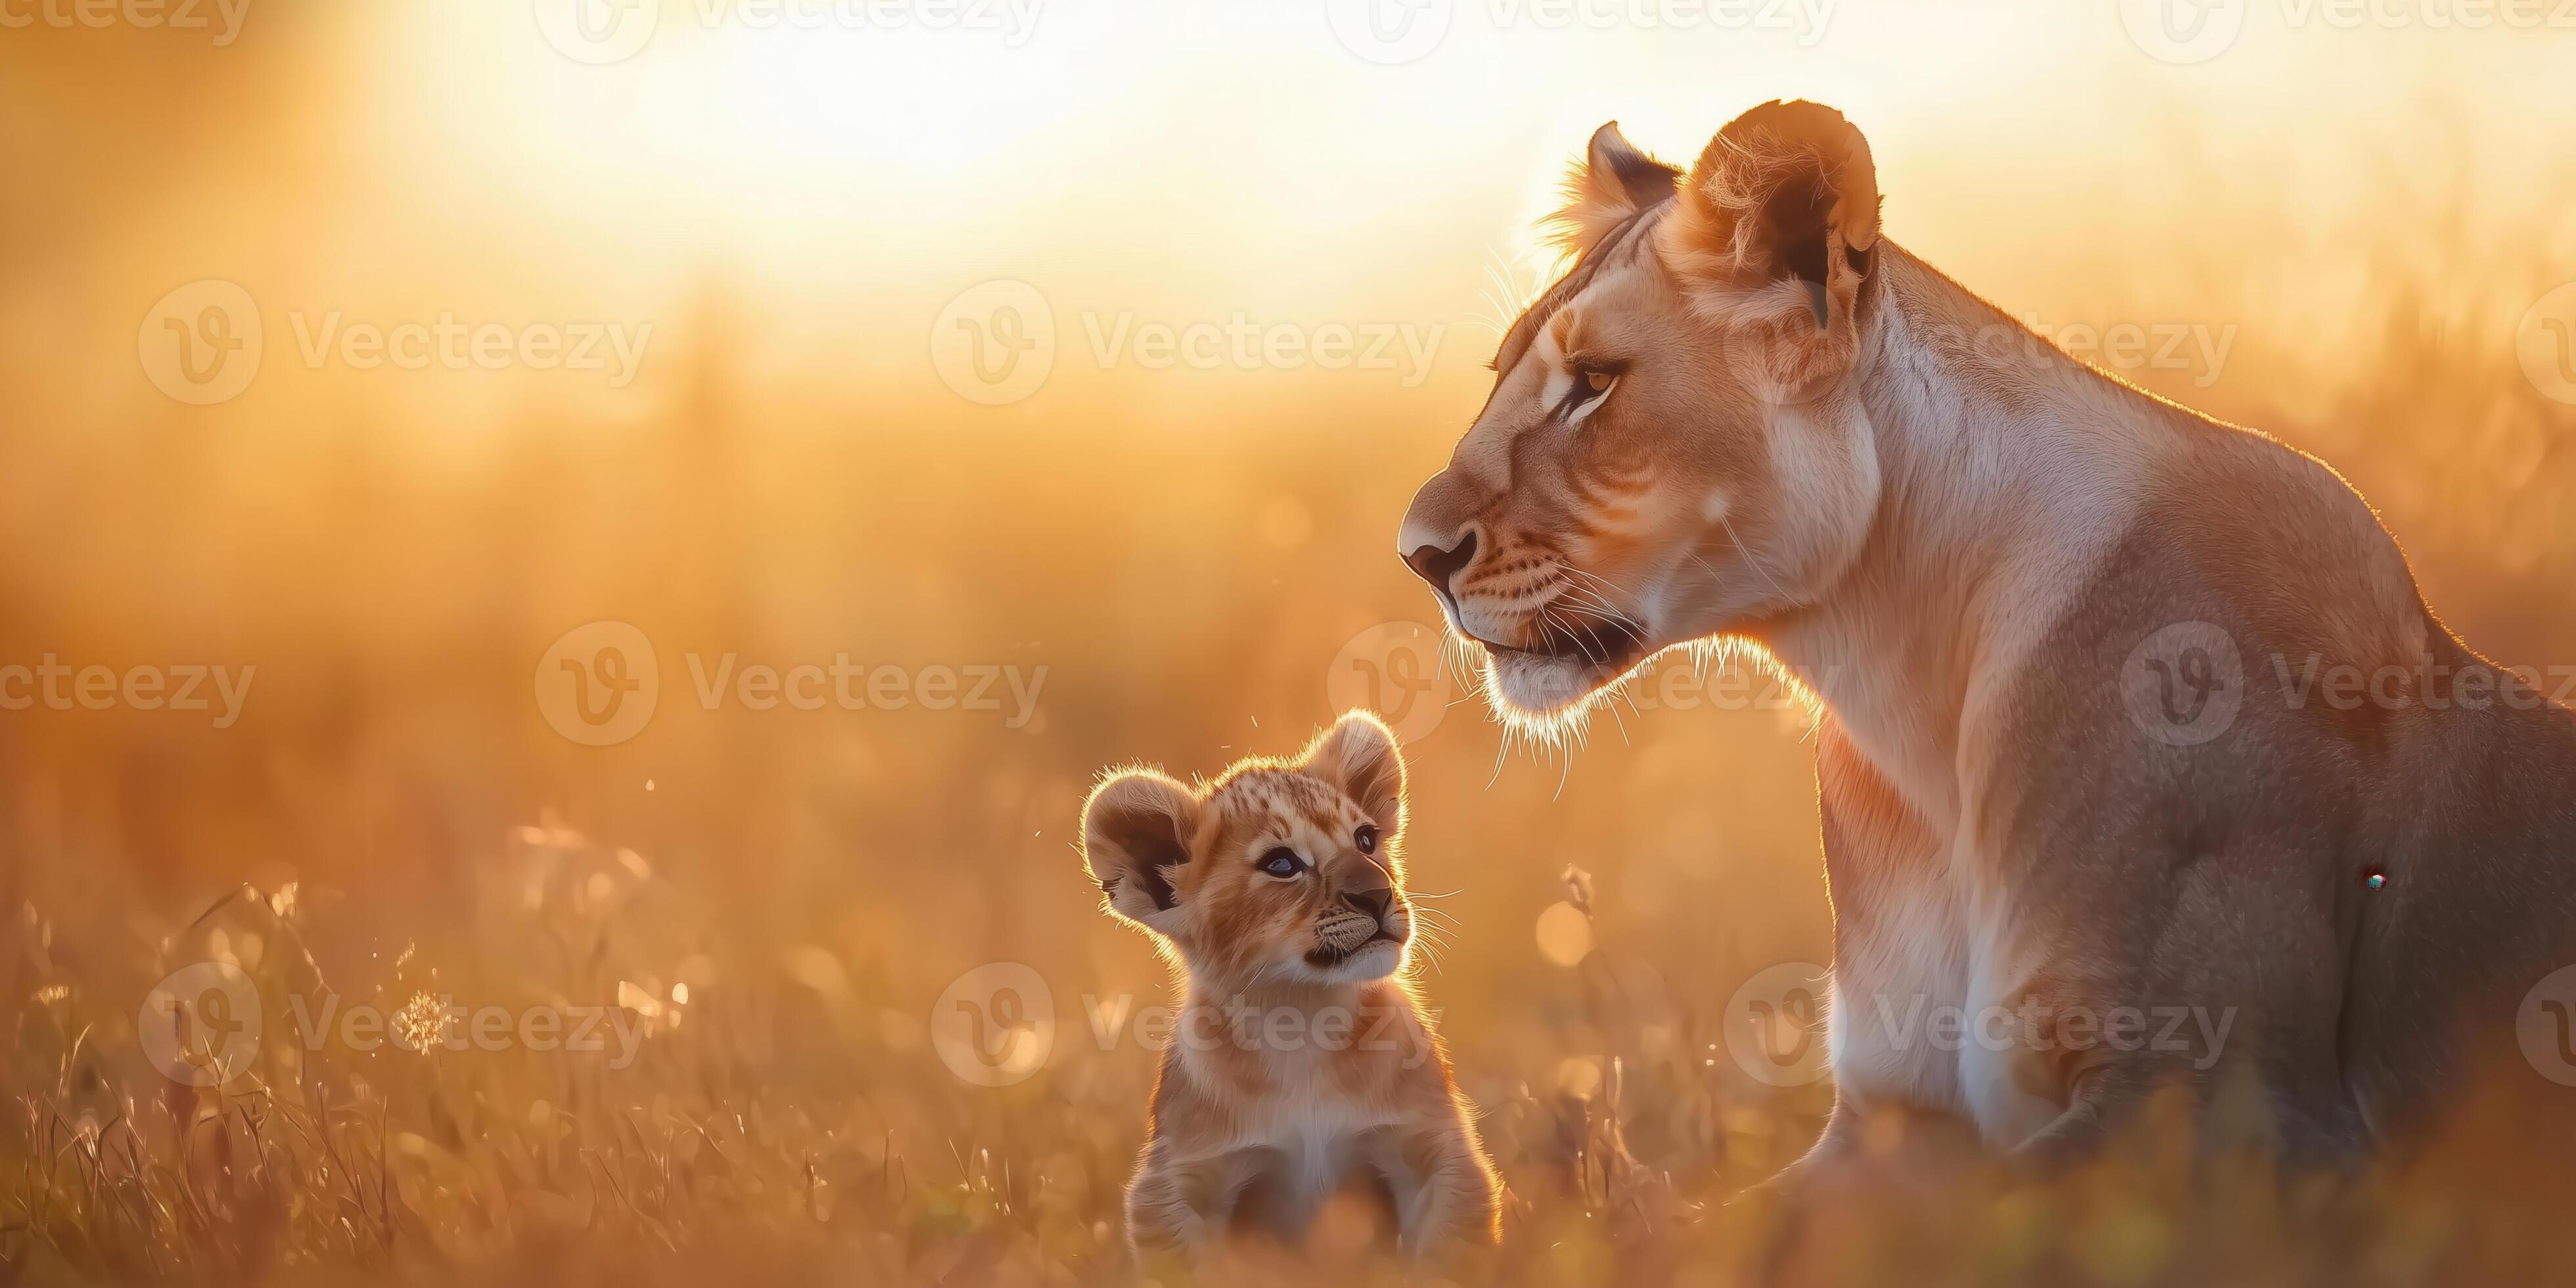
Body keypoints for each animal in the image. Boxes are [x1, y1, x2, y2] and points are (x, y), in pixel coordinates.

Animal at [1396, 100, 2576, 1172]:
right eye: (1503, 376)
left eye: (1595, 386)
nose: (1418, 555)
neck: (1902, 682)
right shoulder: (1892, 1110)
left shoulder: (2233, 1101)